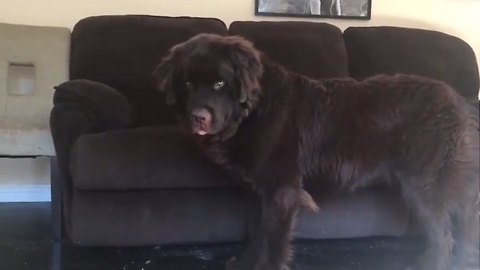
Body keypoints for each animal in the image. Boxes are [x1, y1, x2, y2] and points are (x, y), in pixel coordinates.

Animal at [154, 33, 480, 270]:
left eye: (220, 83)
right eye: (187, 83)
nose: (198, 117)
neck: (252, 111)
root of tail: (459, 101)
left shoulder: (282, 190)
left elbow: (273, 239)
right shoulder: (263, 191)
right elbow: (259, 233)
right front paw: (245, 263)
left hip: (424, 186)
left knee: (444, 235)